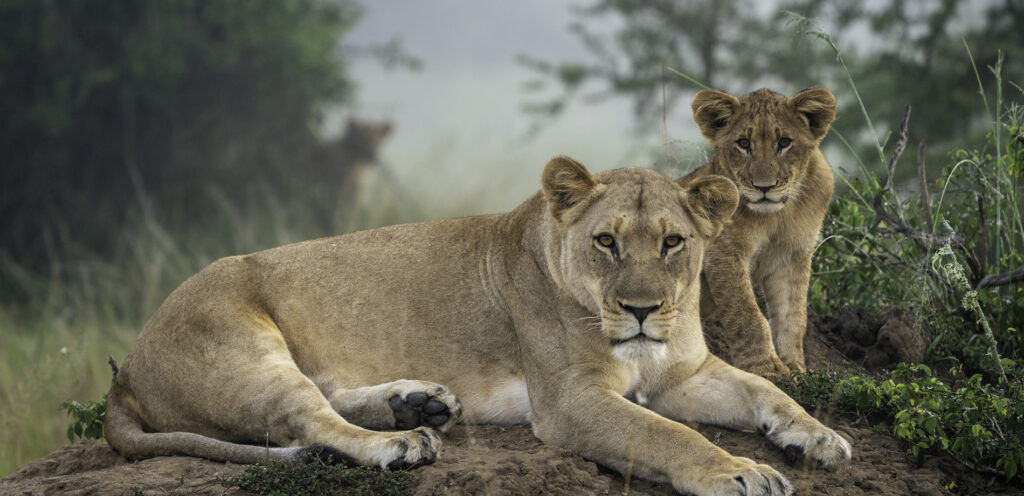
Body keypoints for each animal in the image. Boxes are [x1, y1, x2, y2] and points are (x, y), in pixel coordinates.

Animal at [105, 156, 850, 495]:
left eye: (673, 243)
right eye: (606, 242)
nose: (640, 311)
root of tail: (127, 365)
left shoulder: (684, 374)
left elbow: (767, 392)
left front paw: (818, 438)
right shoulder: (570, 401)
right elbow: (667, 435)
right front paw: (738, 472)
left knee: (325, 397)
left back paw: (415, 402)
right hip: (246, 346)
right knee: (304, 421)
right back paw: (402, 443)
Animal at [680, 88, 837, 378]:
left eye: (784, 142)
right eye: (743, 143)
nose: (764, 187)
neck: (777, 216)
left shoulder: (792, 255)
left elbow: (794, 317)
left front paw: (796, 368)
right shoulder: (723, 252)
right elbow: (747, 314)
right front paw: (767, 369)